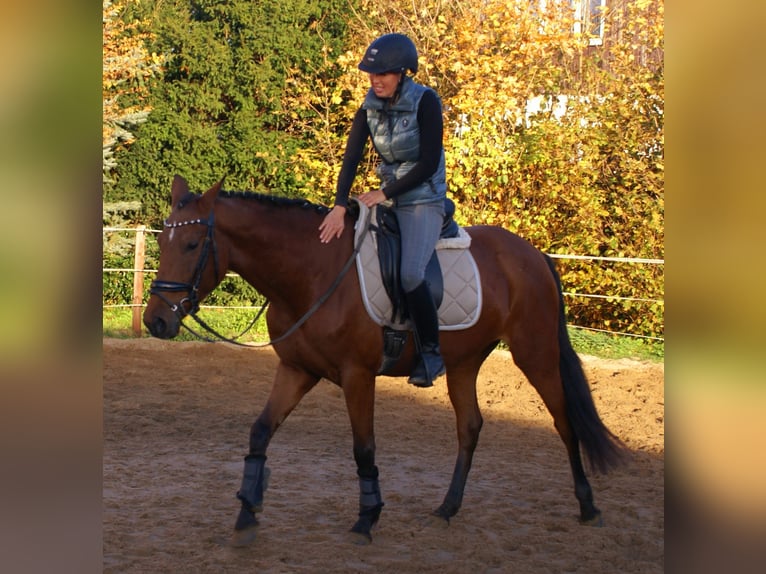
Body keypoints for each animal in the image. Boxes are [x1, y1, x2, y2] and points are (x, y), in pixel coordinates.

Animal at [143, 175, 625, 546]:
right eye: (163, 239)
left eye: (191, 244)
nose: (155, 321)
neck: (313, 272)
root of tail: (532, 254)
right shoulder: (297, 370)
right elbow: (260, 431)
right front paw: (247, 512)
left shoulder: (358, 376)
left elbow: (364, 447)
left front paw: (367, 517)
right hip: (464, 362)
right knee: (469, 427)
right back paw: (448, 507)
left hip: (535, 352)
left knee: (564, 421)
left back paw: (588, 505)